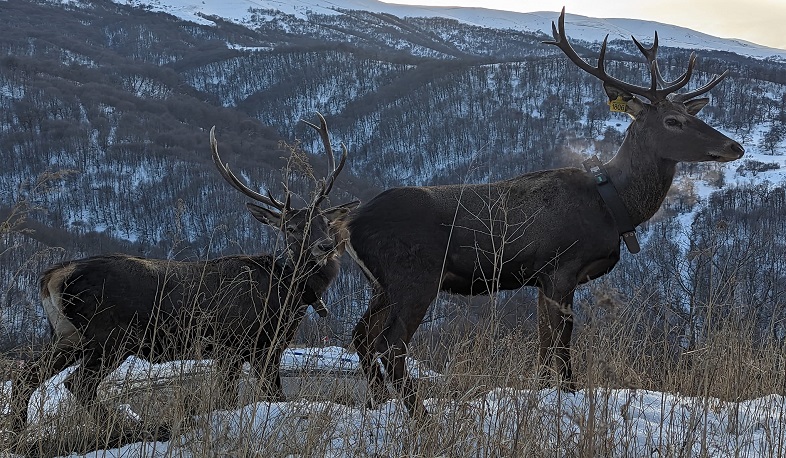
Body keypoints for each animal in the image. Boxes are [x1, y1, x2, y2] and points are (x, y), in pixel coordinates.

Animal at [8, 113, 358, 440]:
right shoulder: (247, 342)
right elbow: (265, 396)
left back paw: (18, 433)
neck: (288, 292)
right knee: (79, 384)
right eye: (292, 228)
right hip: (110, 336)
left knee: (28, 377)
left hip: (67, 335)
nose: (325, 246)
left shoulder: (239, 349)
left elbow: (234, 398)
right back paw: (128, 429)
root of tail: (53, 275)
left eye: (325, 222)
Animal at [346, 8, 744, 416]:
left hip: (382, 283)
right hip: (414, 274)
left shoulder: (541, 278)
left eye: (687, 114)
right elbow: (561, 342)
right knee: (390, 344)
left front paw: (542, 396)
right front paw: (567, 394)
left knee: (361, 336)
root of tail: (351, 225)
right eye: (672, 121)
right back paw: (421, 417)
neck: (614, 205)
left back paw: (377, 407)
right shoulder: (562, 266)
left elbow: (542, 344)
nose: (735, 147)